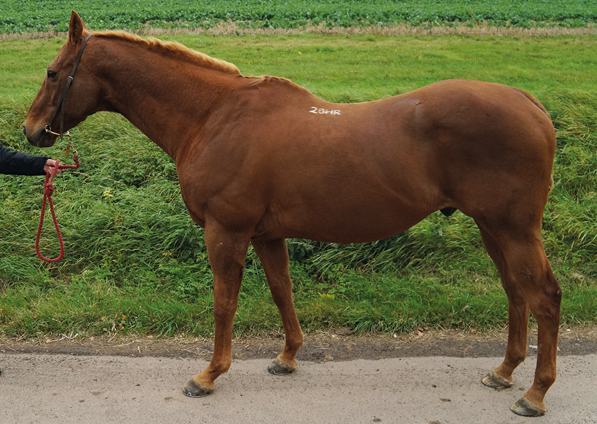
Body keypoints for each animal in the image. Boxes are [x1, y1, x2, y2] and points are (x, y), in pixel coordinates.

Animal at [23, 10, 560, 418]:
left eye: (51, 72)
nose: (30, 131)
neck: (213, 116)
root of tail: (531, 103)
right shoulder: (266, 234)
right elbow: (283, 291)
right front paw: (287, 357)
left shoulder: (226, 231)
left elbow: (224, 303)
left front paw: (209, 374)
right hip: (492, 227)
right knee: (515, 291)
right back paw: (504, 372)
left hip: (514, 229)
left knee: (544, 296)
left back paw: (534, 394)